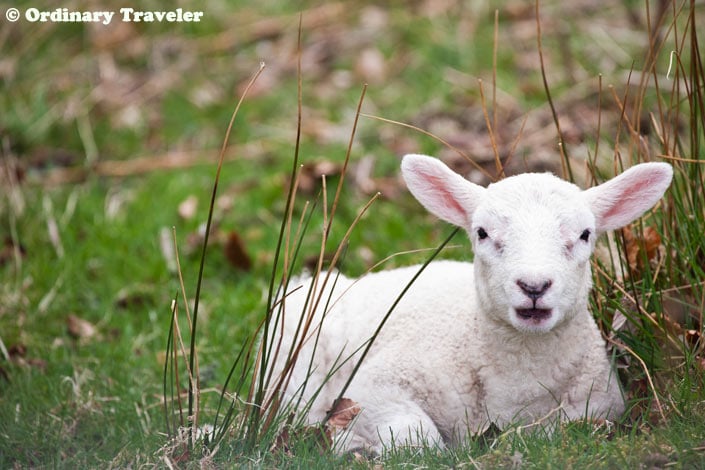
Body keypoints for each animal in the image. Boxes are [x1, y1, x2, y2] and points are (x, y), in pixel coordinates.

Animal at [262, 154, 672, 456]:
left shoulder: (599, 407)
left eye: (585, 234)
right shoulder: (372, 385)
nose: (534, 286)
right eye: (482, 233)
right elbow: (419, 439)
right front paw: (359, 444)